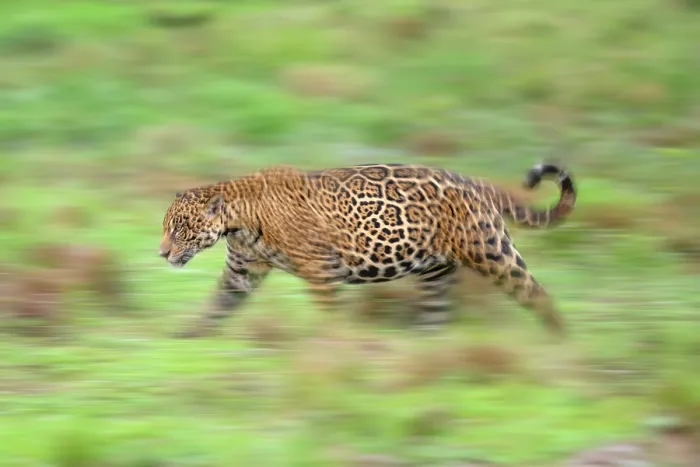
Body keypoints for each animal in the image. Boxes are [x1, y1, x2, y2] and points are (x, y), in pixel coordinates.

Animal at [159, 162, 577, 339]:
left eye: (179, 229)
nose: (161, 255)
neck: (239, 219)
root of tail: (475, 182)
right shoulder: (241, 272)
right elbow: (215, 306)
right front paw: (186, 336)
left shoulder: (321, 269)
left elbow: (330, 314)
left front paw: (337, 346)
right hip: (435, 270)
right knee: (437, 312)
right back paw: (424, 346)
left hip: (490, 250)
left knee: (535, 291)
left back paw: (561, 341)